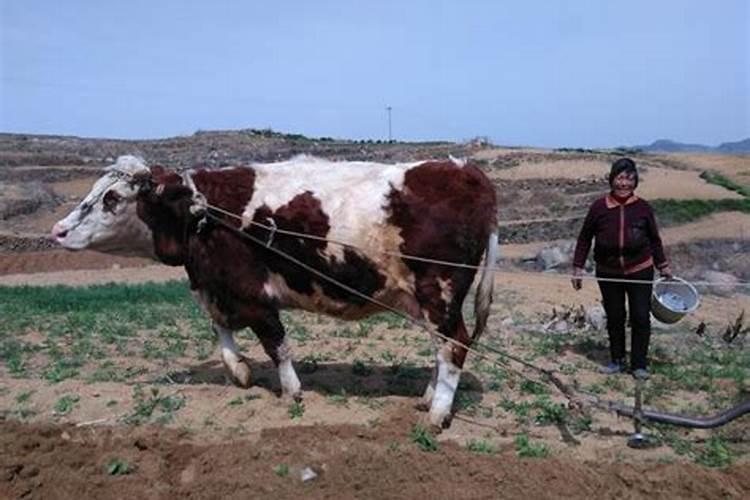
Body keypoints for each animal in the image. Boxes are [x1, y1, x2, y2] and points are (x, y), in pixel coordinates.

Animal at [53, 154, 500, 428]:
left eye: (111, 198)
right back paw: (428, 397)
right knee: (441, 349)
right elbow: (220, 331)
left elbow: (276, 345)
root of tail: (464, 170)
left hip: (440, 291)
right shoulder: (217, 288)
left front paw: (290, 390)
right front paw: (239, 371)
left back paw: (438, 413)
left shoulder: (254, 293)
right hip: (427, 301)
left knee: (454, 345)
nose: (57, 231)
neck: (203, 213)